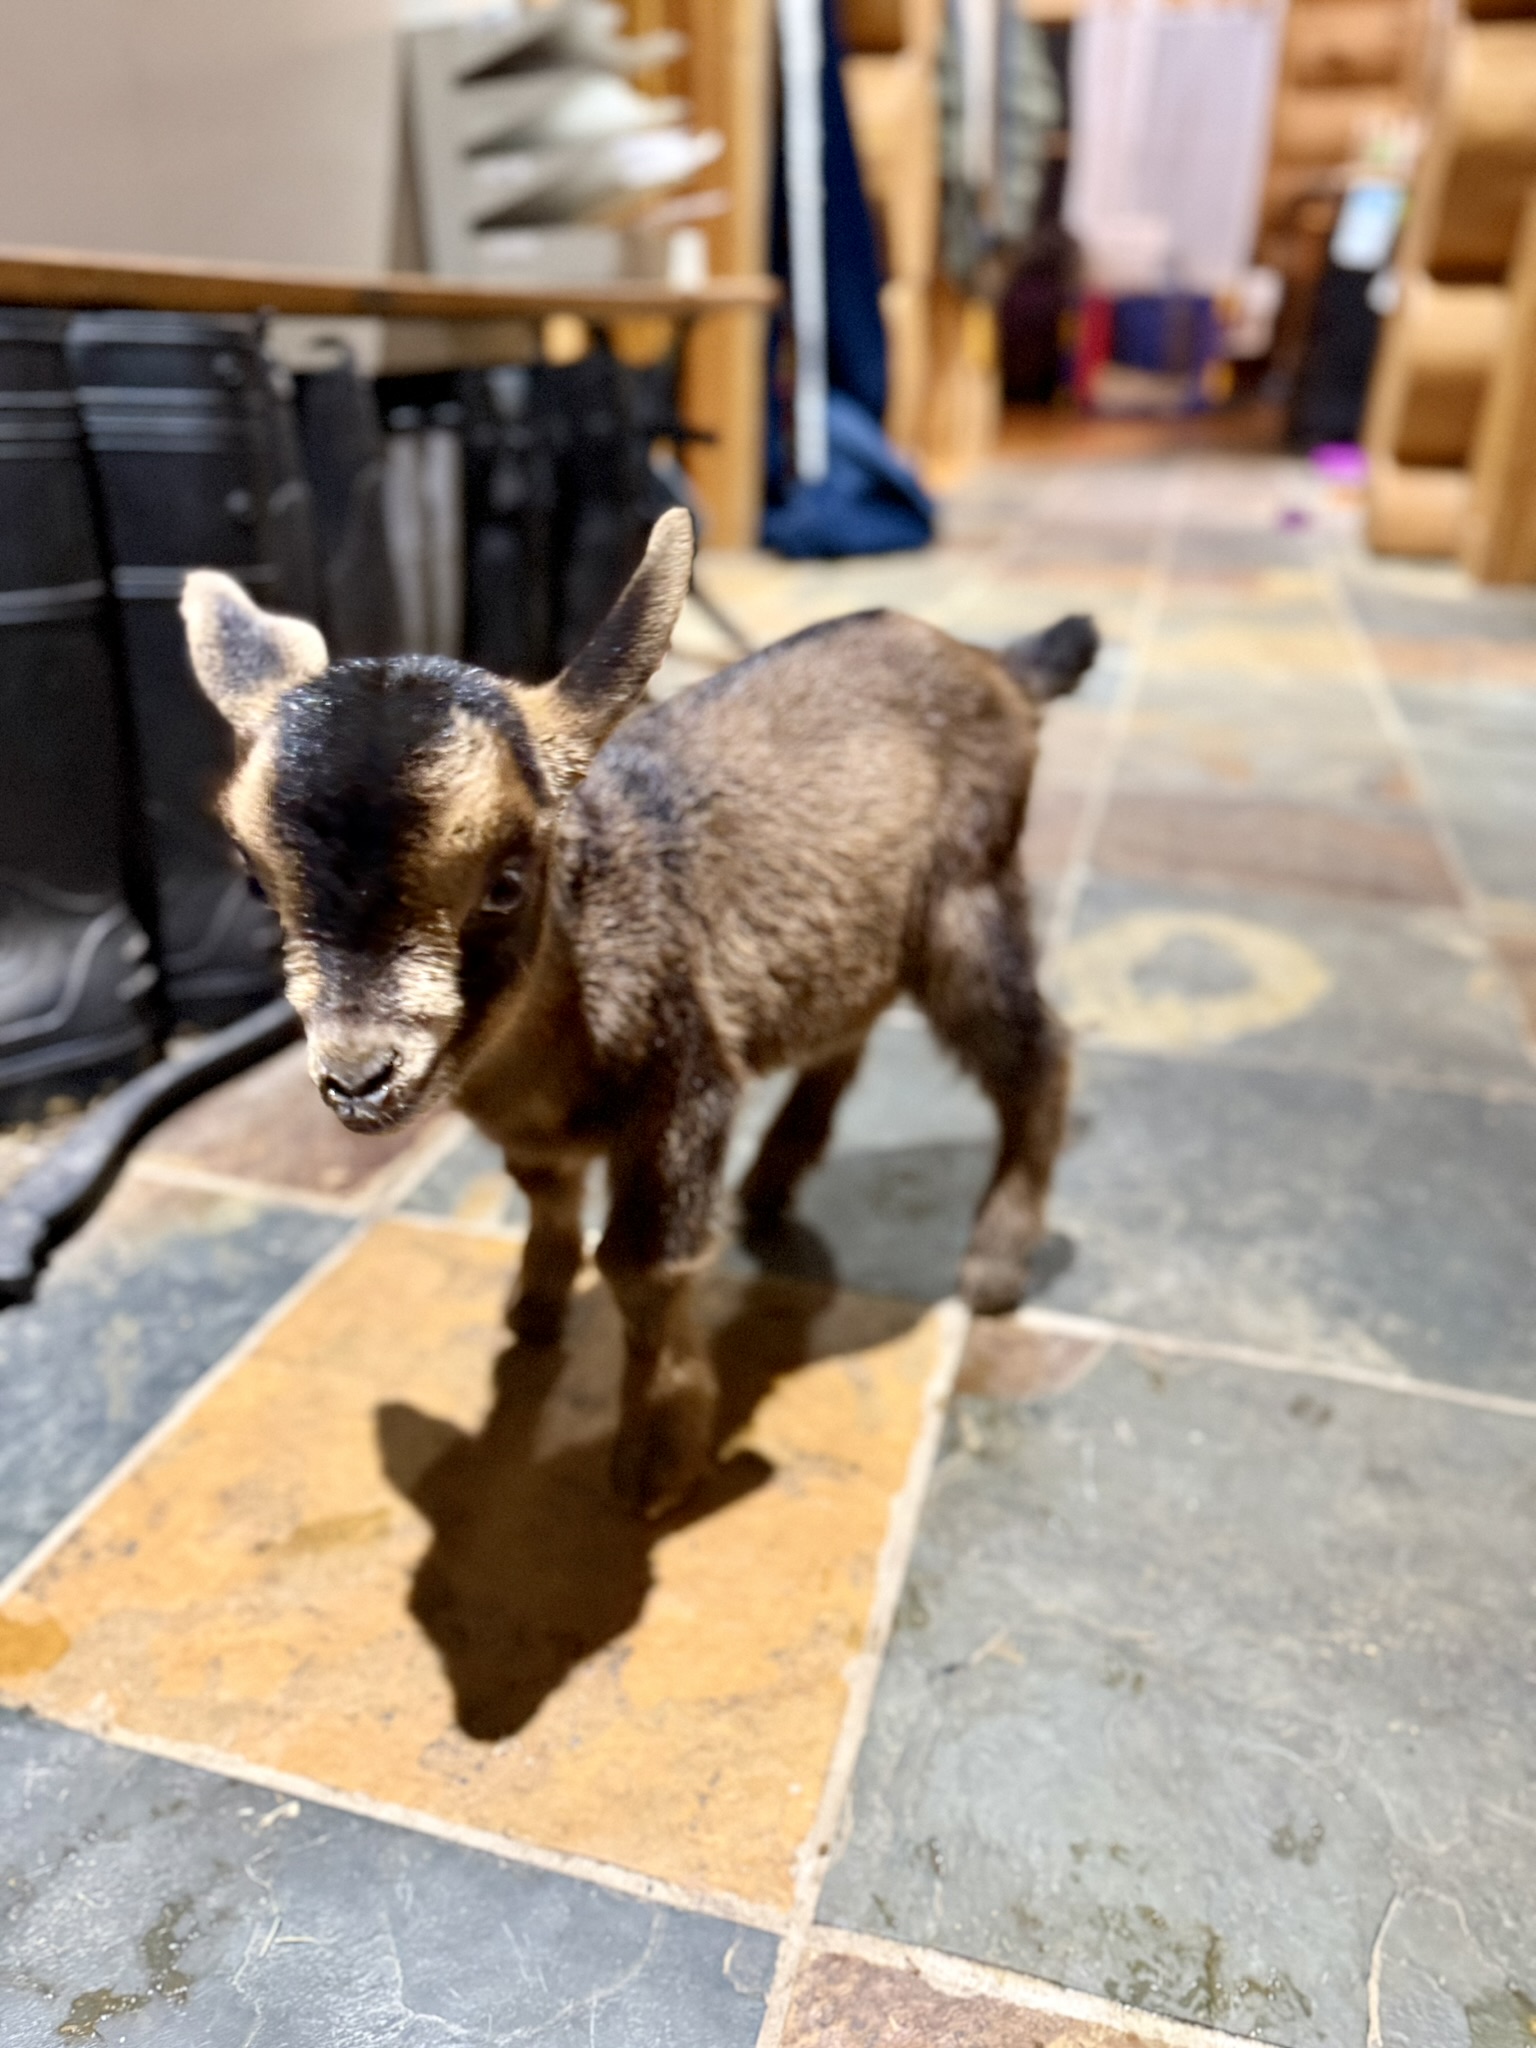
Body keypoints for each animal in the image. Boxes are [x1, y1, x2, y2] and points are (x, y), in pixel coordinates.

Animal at [182, 509, 1096, 1516]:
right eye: (256, 883)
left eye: (507, 882)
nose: (358, 1078)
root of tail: (997, 665)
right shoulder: (538, 1127)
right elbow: (545, 1198)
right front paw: (532, 1314)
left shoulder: (684, 1080)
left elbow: (642, 1261)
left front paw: (660, 1456)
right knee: (849, 1031)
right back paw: (773, 1181)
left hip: (968, 897)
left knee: (1040, 1049)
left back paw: (995, 1260)